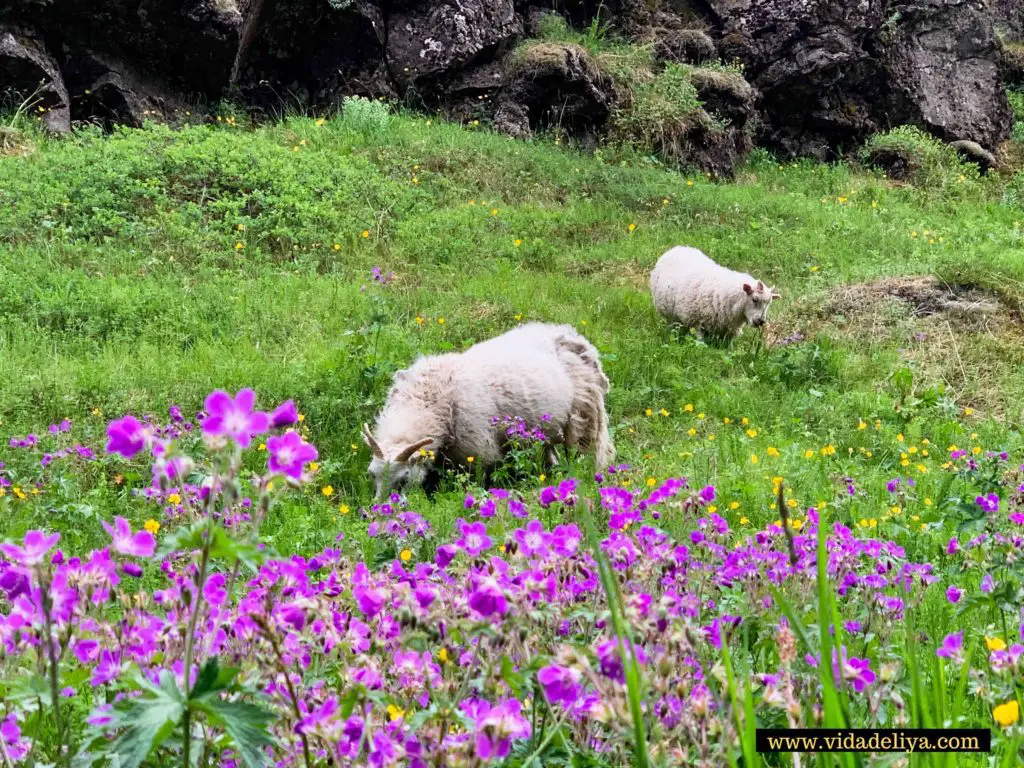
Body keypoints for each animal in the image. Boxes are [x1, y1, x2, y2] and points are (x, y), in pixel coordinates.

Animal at [364, 319, 610, 495]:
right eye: (372, 475)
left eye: (403, 479)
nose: (379, 512)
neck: (429, 398)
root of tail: (572, 335)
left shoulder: (478, 451)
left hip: (585, 416)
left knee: (592, 453)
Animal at [647, 246, 782, 339]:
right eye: (755, 299)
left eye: (769, 304)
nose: (761, 321)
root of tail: (677, 248)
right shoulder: (698, 322)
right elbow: (700, 341)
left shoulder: (729, 330)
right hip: (669, 313)